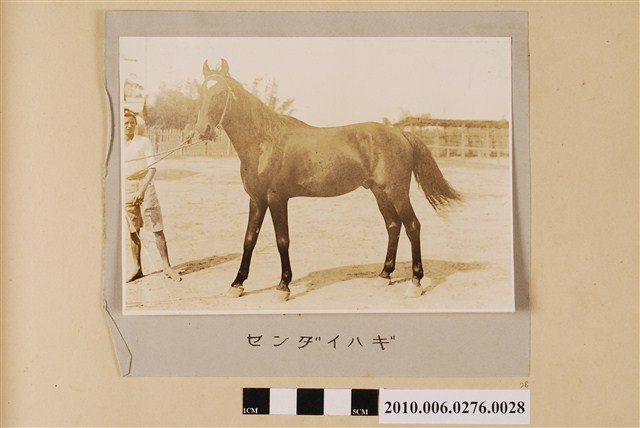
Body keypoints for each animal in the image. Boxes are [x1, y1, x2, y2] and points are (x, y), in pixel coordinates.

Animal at [194, 59, 460, 301]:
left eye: (220, 92)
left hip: (397, 192)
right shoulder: (256, 200)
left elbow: (282, 240)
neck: (264, 143)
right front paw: (237, 284)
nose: (202, 130)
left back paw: (415, 283)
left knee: (413, 226)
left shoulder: (277, 199)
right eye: (201, 92)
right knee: (393, 226)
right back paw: (384, 275)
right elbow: (249, 239)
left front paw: (283, 287)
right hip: (380, 193)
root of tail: (400, 133)